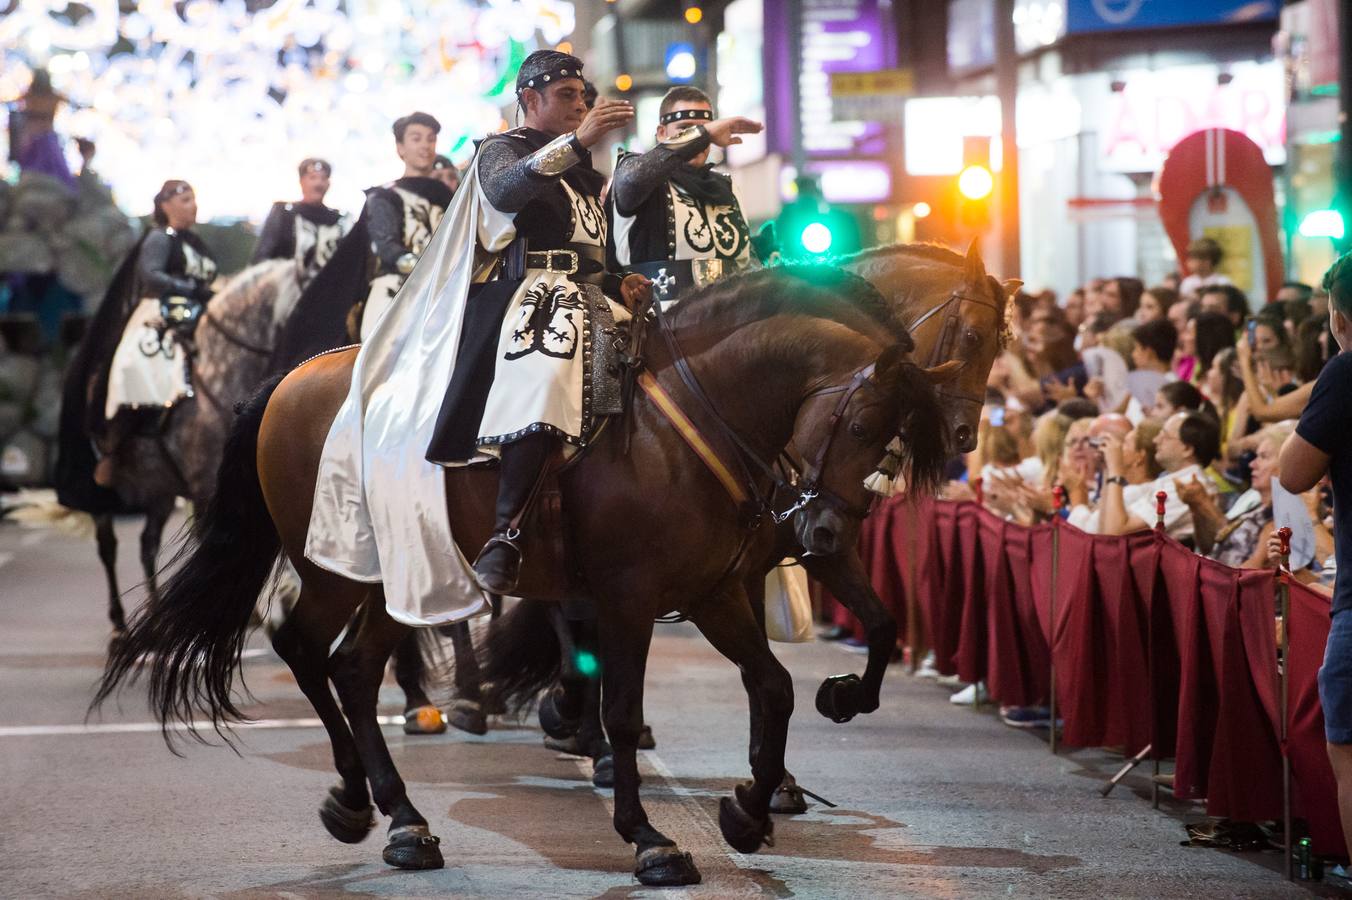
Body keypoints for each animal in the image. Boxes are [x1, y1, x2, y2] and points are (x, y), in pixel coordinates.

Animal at [92, 259, 951, 881]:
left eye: (895, 431)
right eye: (864, 421)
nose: (829, 528)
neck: (686, 420)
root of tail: (294, 377)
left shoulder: (711, 591)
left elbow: (773, 687)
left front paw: (749, 809)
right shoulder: (630, 597)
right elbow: (621, 710)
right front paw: (649, 838)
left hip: (393, 584)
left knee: (352, 668)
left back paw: (393, 816)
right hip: (337, 569)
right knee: (303, 646)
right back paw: (373, 802)